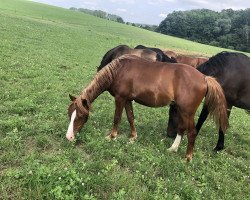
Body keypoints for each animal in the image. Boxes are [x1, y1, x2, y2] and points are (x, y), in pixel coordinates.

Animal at [66, 55, 229, 162]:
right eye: (70, 115)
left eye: (80, 116)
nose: (69, 137)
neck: (119, 71)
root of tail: (204, 78)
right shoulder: (127, 100)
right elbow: (130, 117)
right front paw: (133, 137)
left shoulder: (120, 98)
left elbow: (117, 118)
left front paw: (112, 136)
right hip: (182, 110)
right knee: (182, 129)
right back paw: (173, 149)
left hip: (187, 111)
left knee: (192, 132)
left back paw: (187, 157)